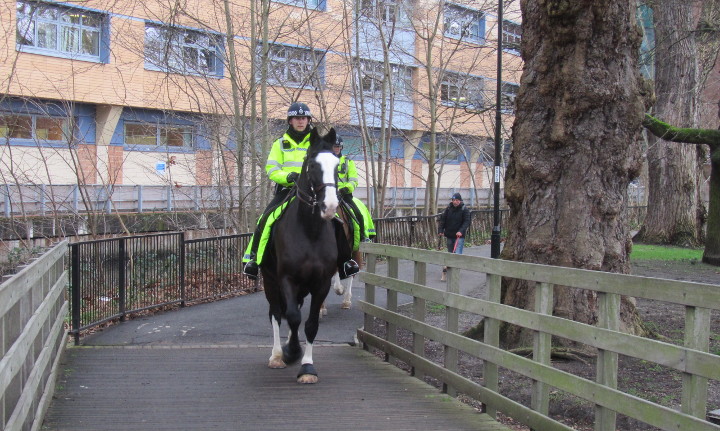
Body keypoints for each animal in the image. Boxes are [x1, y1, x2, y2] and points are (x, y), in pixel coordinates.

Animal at [262, 125, 340, 384]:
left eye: (338, 165)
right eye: (313, 165)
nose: (330, 206)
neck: (309, 231)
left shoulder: (321, 283)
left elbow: (311, 324)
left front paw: (307, 367)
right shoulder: (287, 279)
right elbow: (293, 317)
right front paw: (292, 352)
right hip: (269, 282)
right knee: (277, 314)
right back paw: (278, 355)